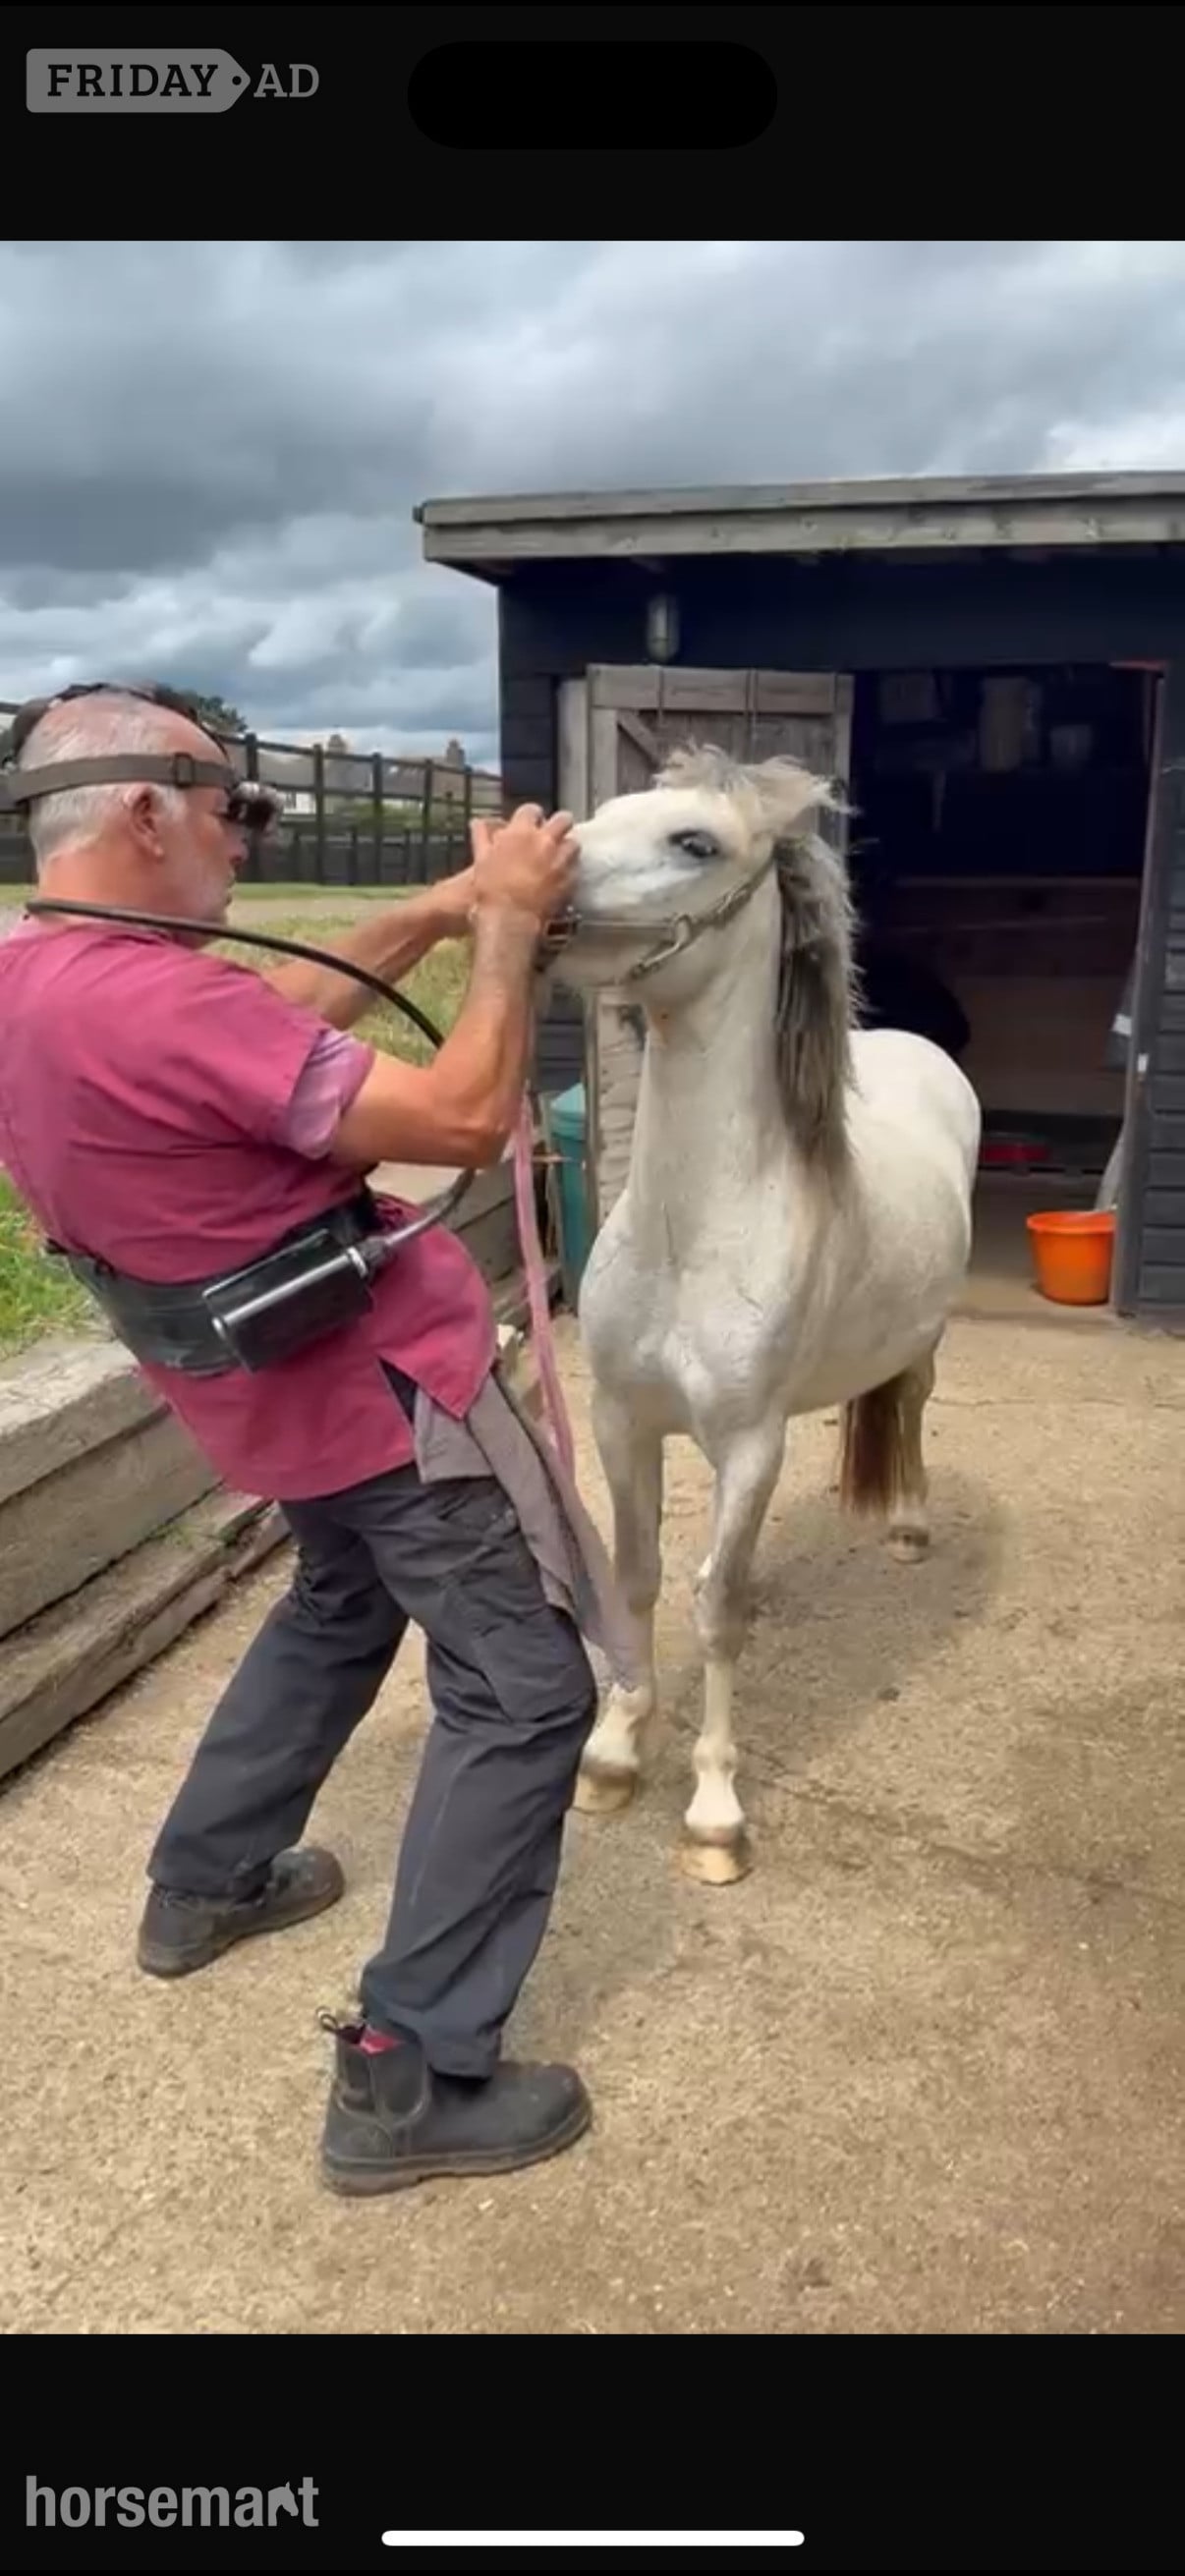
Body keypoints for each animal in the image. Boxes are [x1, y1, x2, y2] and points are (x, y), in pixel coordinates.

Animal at [550, 743, 982, 1885]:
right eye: (604, 810)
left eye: (694, 841)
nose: (532, 870)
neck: (692, 1231)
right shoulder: (621, 1421)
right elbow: (642, 1578)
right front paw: (616, 1750)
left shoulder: (745, 1445)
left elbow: (713, 1615)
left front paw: (713, 1812)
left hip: (924, 1343)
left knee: (909, 1407)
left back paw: (909, 1526)